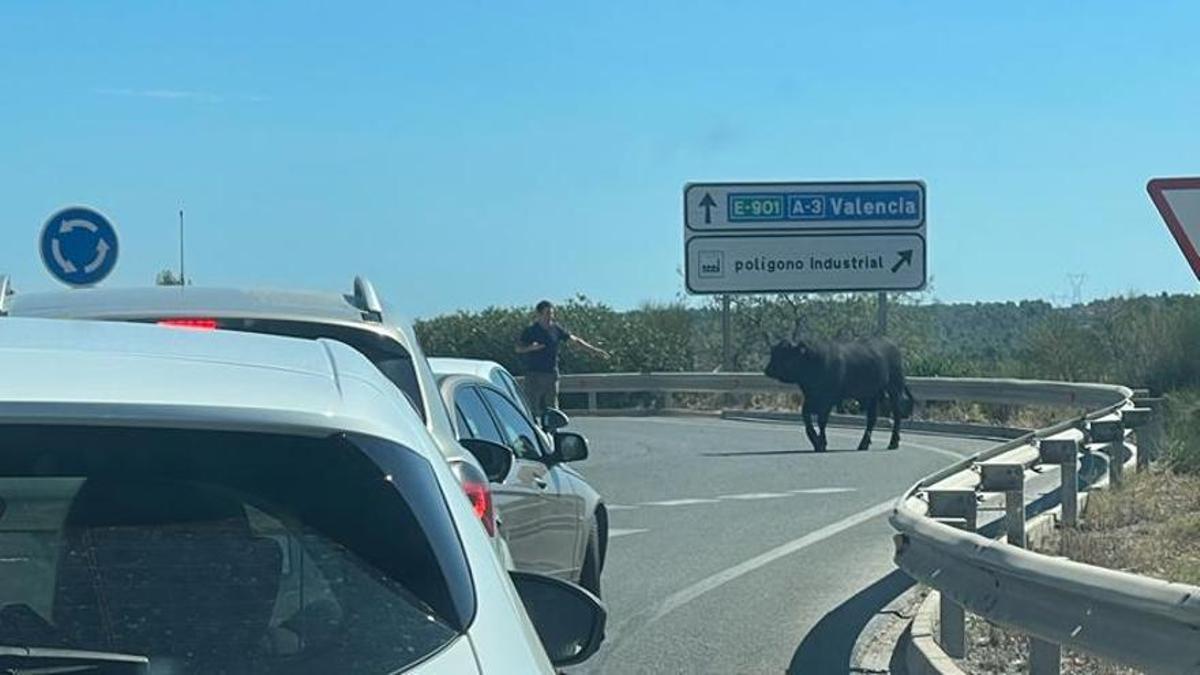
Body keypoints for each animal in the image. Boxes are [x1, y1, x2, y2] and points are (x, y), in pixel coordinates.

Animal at [763, 336, 912, 451]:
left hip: (894, 389)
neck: (813, 361)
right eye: (774, 352)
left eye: (785, 354)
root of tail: (892, 345)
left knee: (896, 415)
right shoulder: (811, 398)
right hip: (872, 395)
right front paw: (816, 441)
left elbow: (822, 421)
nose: (768, 370)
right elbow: (807, 419)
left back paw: (893, 443)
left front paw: (821, 443)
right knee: (872, 419)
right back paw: (863, 444)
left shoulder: (827, 400)